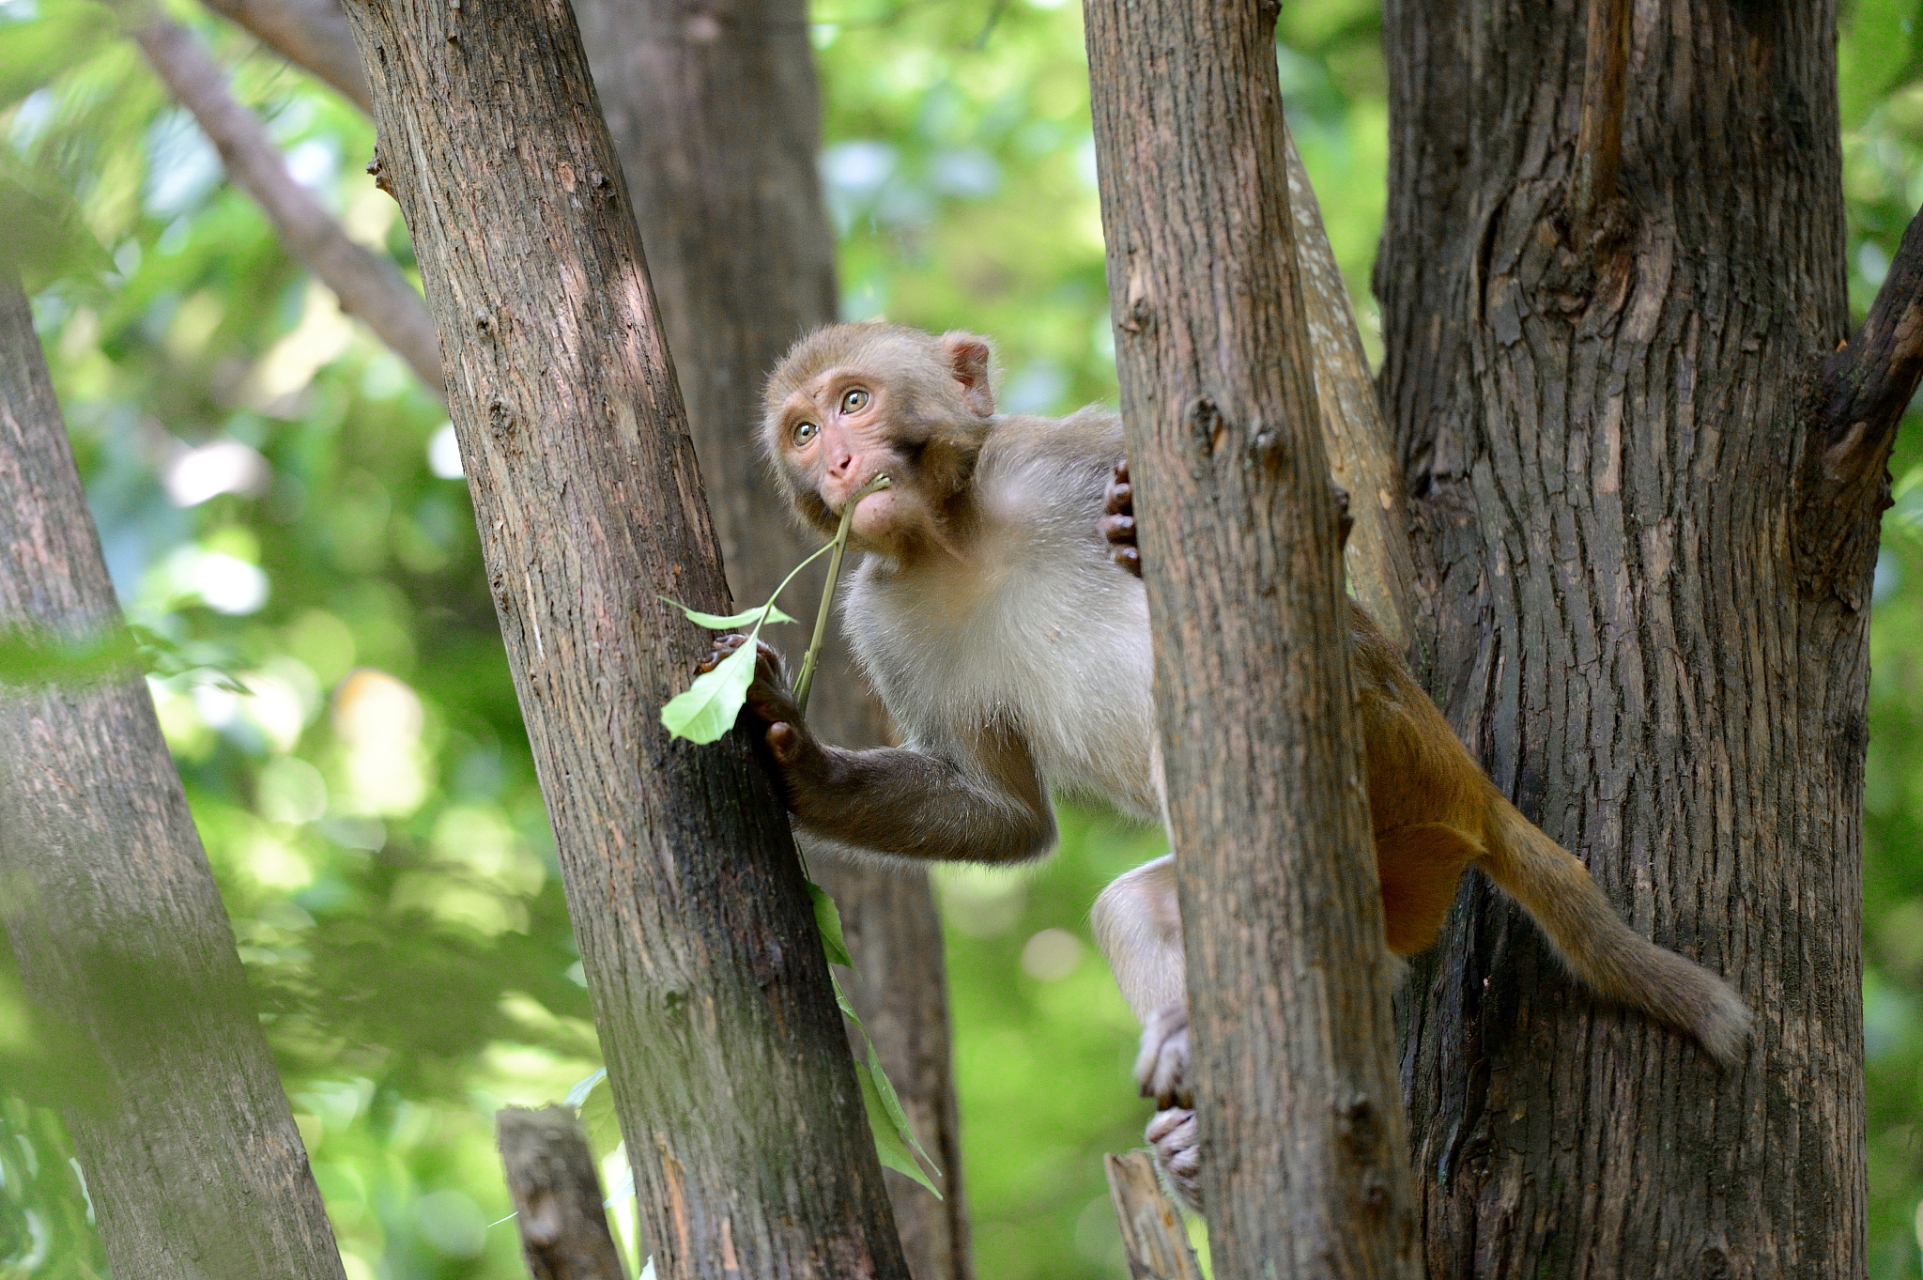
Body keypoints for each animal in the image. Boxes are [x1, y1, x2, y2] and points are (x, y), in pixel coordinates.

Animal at [711, 319, 1761, 1206]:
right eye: (800, 431)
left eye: (854, 401)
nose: (837, 461)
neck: (958, 534)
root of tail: (1468, 785)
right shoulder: (880, 616)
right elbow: (1004, 816)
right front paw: (801, 765)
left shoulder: (1064, 455)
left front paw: (1152, 522)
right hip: (1402, 859)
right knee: (1144, 905)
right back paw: (1200, 1120)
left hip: (1382, 747)